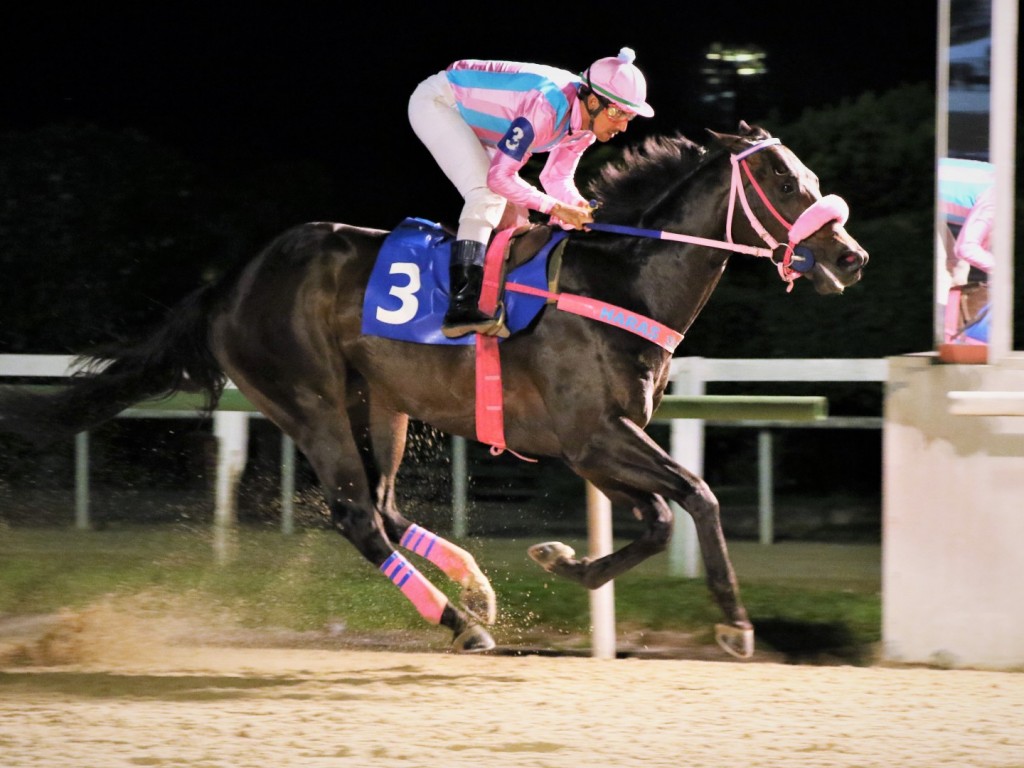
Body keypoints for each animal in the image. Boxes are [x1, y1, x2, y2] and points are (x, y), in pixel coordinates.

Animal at [0, 123, 868, 659]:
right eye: (783, 180)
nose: (851, 256)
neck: (619, 277)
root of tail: (232, 285)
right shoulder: (593, 434)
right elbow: (696, 496)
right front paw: (735, 627)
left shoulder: (594, 445)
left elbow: (660, 518)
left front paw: (562, 562)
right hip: (311, 401)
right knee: (357, 517)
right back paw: (460, 623)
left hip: (380, 403)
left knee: (383, 508)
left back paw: (475, 592)